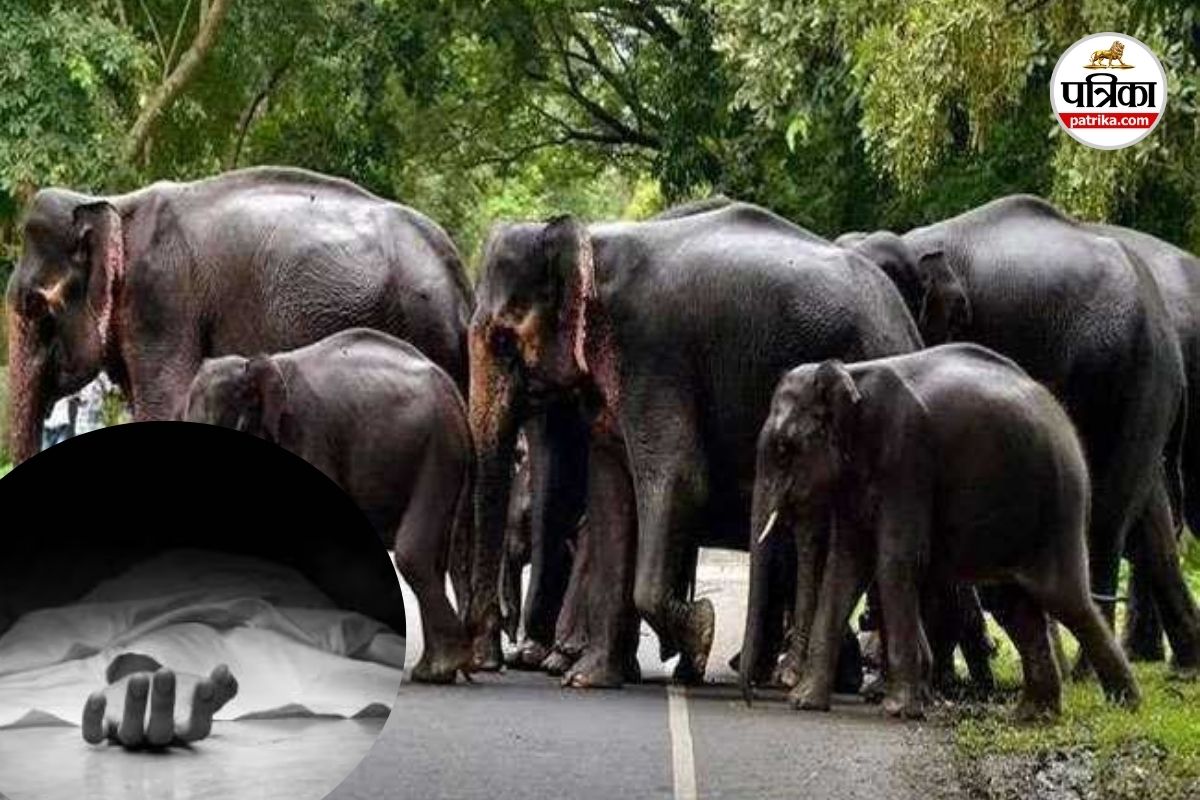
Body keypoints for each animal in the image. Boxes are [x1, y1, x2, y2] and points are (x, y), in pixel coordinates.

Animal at [8, 166, 471, 464]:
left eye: (33, 305)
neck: (113, 204)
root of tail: (455, 268)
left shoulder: (162, 298)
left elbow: (165, 400)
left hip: (422, 323)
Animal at [181, 327, 473, 683]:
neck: (254, 365)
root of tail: (453, 390)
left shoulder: (307, 433)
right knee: (434, 558)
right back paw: (432, 671)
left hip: (439, 448)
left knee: (412, 554)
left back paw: (442, 666)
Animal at [467, 199, 921, 688]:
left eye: (502, 338)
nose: (487, 663)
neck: (593, 240)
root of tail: (905, 322)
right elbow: (610, 493)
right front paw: (588, 679)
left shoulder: (655, 357)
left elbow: (679, 480)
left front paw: (701, 633)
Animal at [748, 344, 1140, 719]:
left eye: (784, 448)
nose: (754, 695)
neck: (851, 375)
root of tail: (1061, 416)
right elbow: (844, 567)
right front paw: (804, 703)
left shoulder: (907, 457)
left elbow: (896, 562)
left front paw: (897, 710)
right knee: (1013, 605)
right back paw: (1033, 714)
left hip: (1058, 505)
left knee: (1065, 598)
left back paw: (1125, 706)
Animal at [838, 195, 1200, 673]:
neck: (914, 244)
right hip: (1147, 391)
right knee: (1146, 508)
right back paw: (1176, 661)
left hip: (1131, 377)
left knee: (1106, 515)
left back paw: (1087, 670)